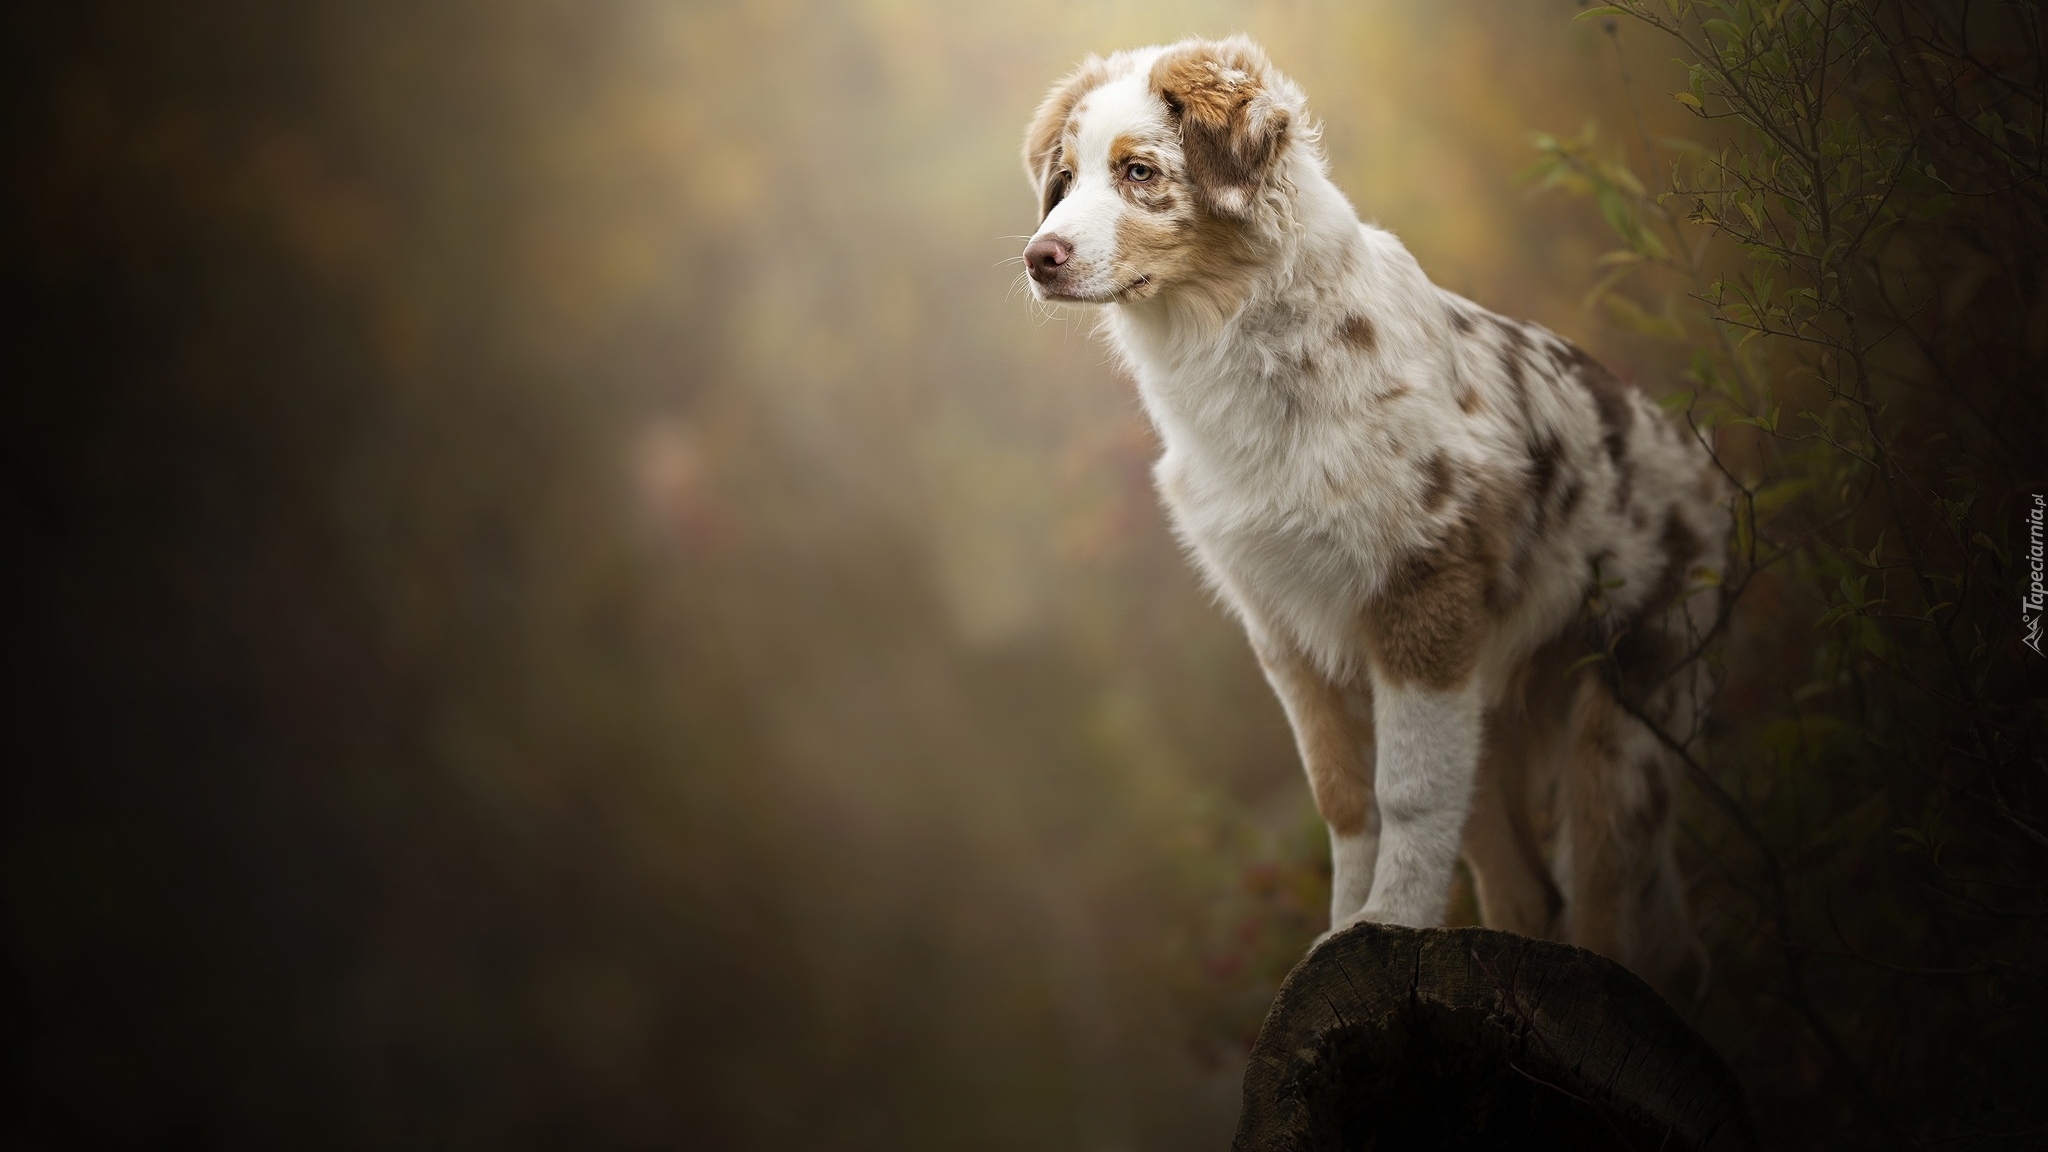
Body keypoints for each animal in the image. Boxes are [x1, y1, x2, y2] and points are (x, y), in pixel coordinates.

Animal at [1015, 35, 1720, 988]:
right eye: (1064, 179)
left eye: (1139, 171)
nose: (1038, 257)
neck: (1253, 355)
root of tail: (1700, 465)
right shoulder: (1285, 626)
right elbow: (1348, 799)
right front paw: (1344, 933)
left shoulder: (1422, 596)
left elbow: (1408, 792)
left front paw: (1387, 922)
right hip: (1492, 720)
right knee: (1530, 892)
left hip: (1621, 731)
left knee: (1615, 914)